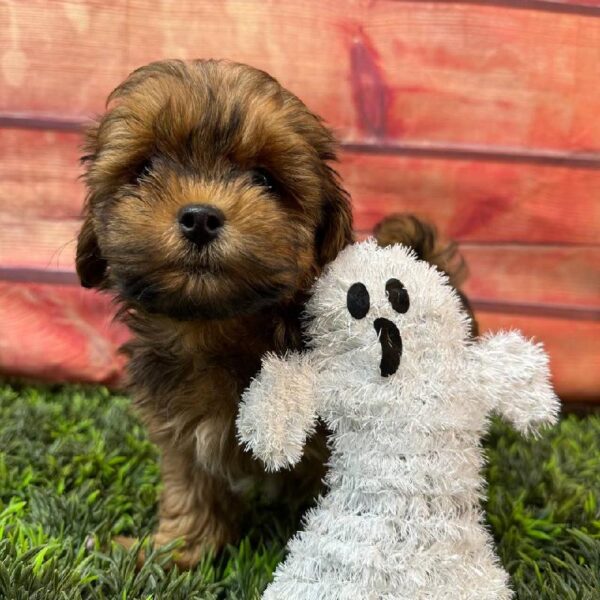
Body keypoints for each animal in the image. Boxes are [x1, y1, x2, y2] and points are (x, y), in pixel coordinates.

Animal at [75, 59, 472, 568]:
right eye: (145, 168)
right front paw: (175, 550)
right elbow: (191, 487)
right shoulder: (182, 427)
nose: (200, 217)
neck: (226, 331)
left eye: (264, 179)